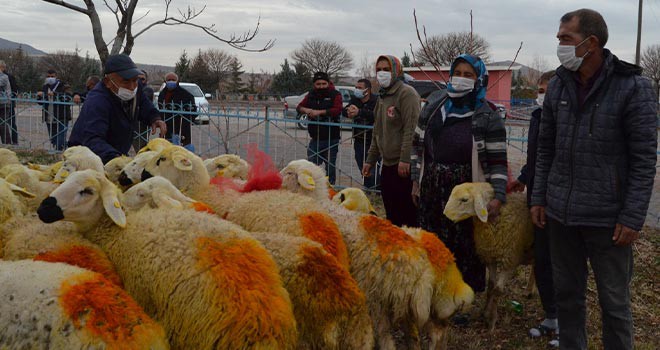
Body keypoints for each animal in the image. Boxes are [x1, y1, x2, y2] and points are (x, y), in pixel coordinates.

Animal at [440, 182, 532, 332]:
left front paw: (492, 321)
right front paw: (485, 312)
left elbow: (498, 290)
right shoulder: (490, 257)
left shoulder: (510, 260)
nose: (445, 215)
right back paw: (529, 291)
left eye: (464, 200)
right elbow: (491, 285)